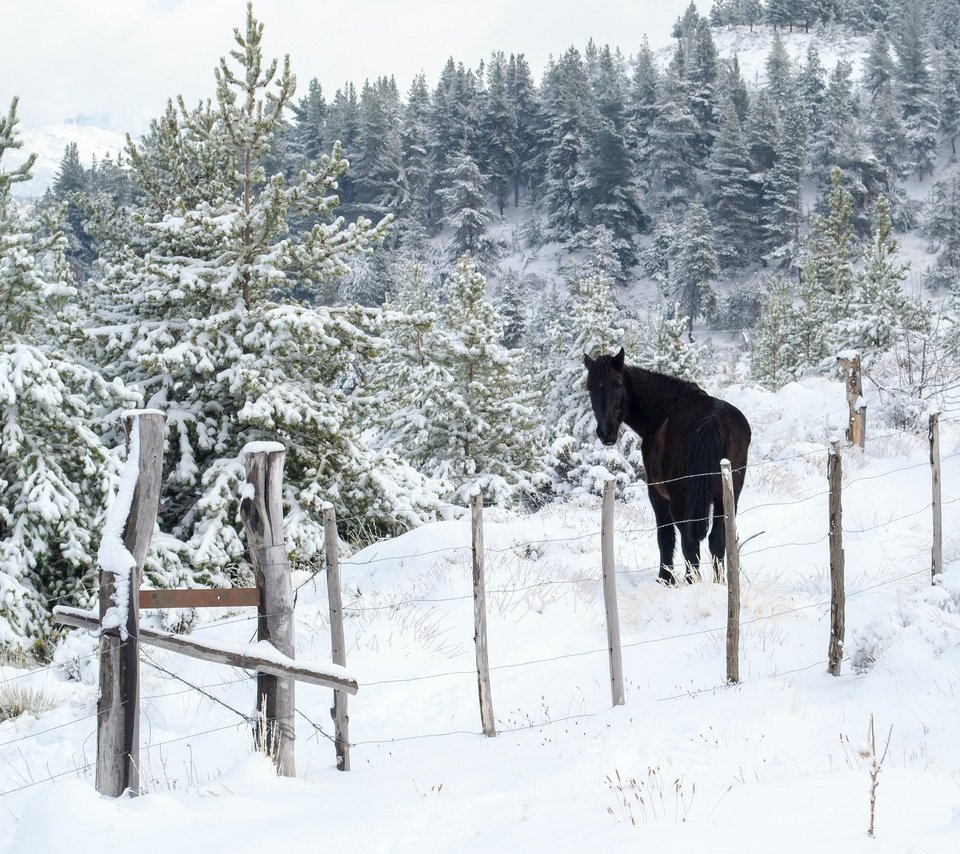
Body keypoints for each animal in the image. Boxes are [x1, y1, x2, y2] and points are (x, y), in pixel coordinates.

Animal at [584, 346, 752, 580]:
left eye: (617, 385)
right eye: (590, 388)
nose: (606, 432)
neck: (663, 408)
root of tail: (712, 420)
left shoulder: (657, 494)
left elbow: (665, 537)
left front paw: (665, 578)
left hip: (682, 499)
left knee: (689, 541)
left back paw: (692, 581)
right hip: (727, 495)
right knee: (718, 538)